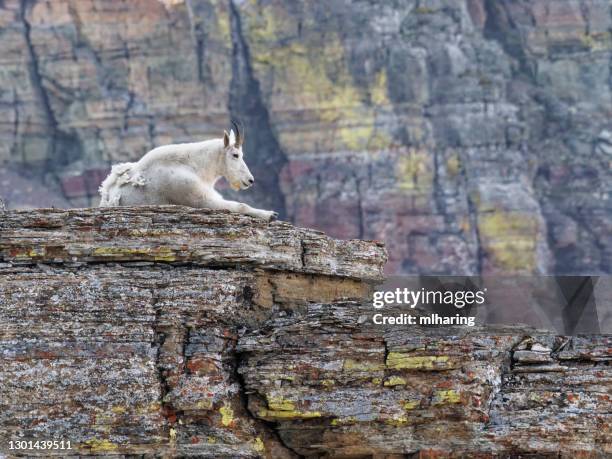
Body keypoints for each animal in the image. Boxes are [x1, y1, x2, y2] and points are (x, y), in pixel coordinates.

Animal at [97, 124, 278, 221]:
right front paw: (270, 214)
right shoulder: (199, 199)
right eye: (235, 155)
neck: (194, 166)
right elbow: (240, 205)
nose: (250, 180)